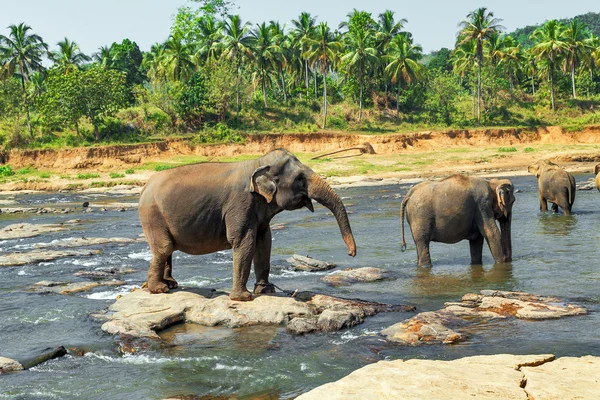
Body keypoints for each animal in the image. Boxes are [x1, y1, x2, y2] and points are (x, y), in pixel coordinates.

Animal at [138, 149, 356, 300]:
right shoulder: (241, 203)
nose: (351, 254)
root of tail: (145, 185)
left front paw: (266, 290)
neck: (257, 163)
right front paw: (243, 298)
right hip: (152, 215)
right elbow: (244, 241)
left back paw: (171, 285)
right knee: (164, 247)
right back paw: (159, 289)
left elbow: (264, 240)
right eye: (300, 178)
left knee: (168, 249)